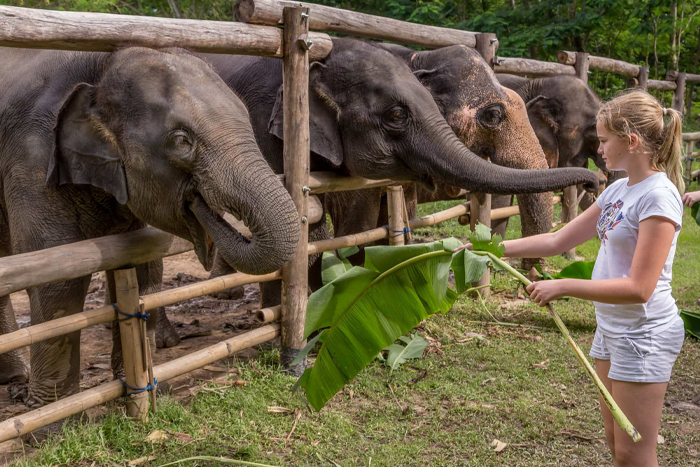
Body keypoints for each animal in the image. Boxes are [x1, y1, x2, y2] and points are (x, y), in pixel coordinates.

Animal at [0, 45, 300, 408]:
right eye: (181, 141)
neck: (100, 66)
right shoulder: (31, 158)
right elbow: (57, 276)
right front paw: (56, 416)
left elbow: (144, 262)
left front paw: (140, 391)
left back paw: (14, 378)